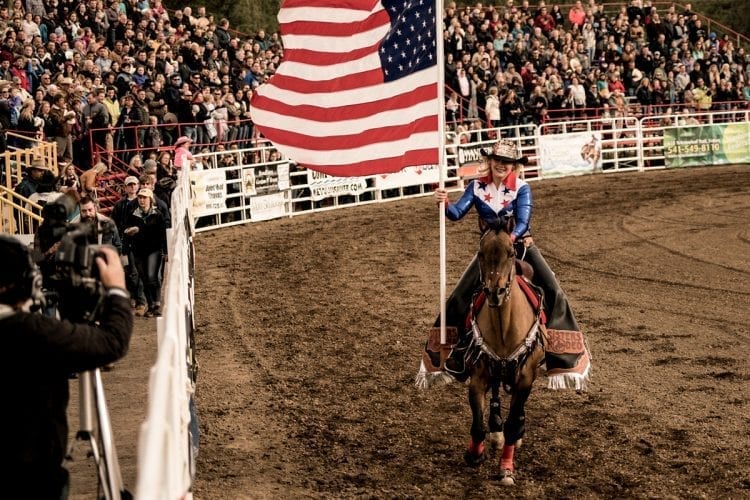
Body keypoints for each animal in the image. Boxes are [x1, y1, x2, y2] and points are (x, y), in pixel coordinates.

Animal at [464, 218, 548, 484]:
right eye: (481, 253)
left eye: (510, 252)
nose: (495, 292)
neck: (504, 326)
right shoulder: (479, 374)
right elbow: (478, 423)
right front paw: (475, 453)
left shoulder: (525, 377)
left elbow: (513, 423)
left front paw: (506, 468)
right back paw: (495, 431)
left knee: (516, 414)